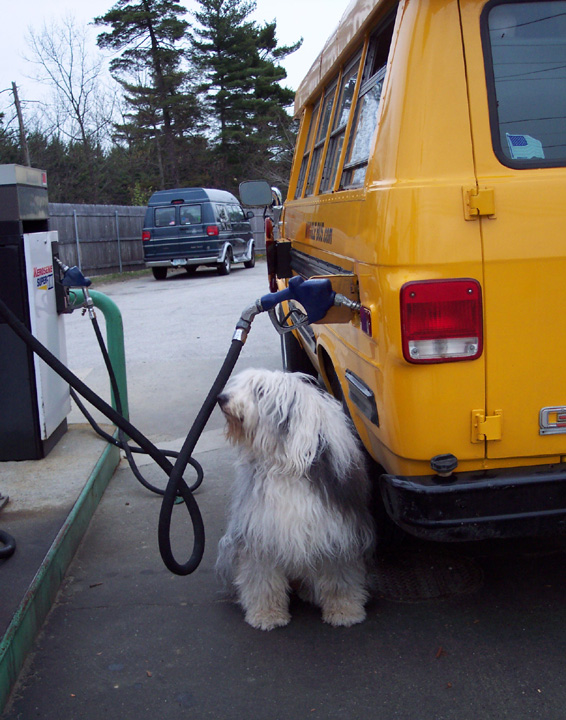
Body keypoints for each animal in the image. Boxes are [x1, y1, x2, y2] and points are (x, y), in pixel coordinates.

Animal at [216, 368, 375, 631]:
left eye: (260, 391)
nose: (221, 398)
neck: (285, 464)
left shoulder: (337, 532)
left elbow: (340, 576)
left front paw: (345, 611)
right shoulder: (262, 532)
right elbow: (263, 579)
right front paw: (267, 615)